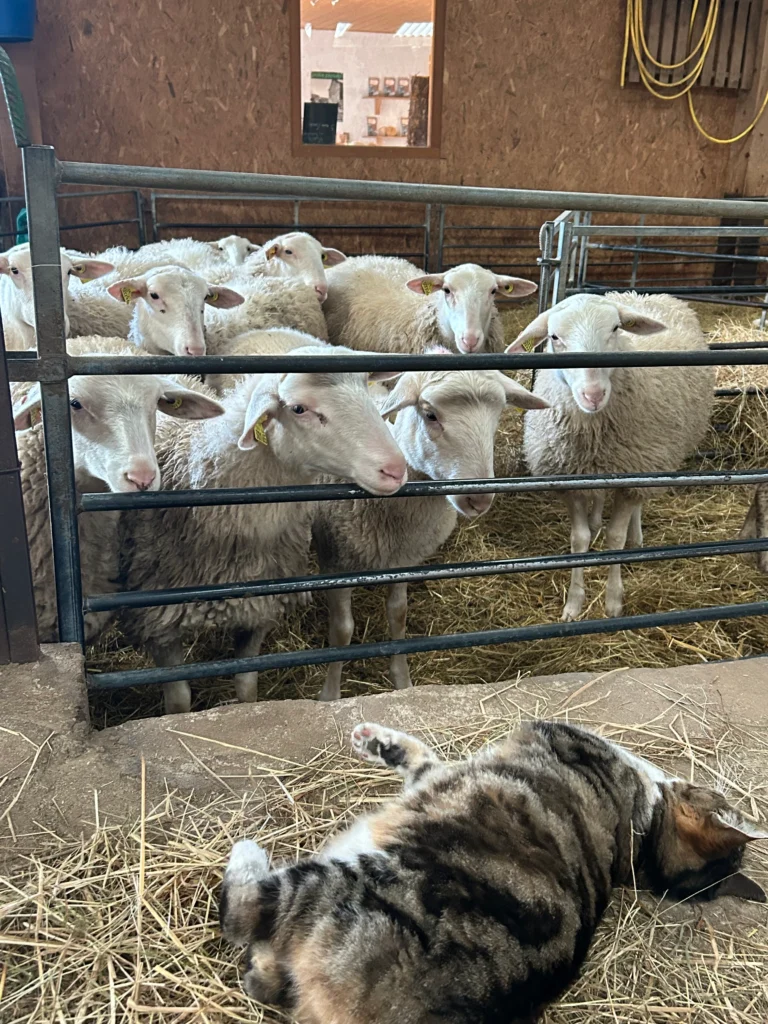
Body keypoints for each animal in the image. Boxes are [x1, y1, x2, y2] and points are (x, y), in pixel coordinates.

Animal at [117, 350, 408, 715]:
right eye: (298, 409)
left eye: (366, 389)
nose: (396, 470)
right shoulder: (158, 621)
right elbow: (180, 701)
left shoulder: (256, 610)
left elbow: (246, 687)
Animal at [313, 357, 550, 701]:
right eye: (430, 415)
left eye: (496, 419)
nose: (479, 498)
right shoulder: (335, 560)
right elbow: (342, 631)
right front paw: (329, 695)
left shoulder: (402, 559)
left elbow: (398, 615)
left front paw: (402, 680)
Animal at [507, 291, 715, 621]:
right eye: (554, 337)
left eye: (616, 328)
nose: (592, 395)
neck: (594, 432)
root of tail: (641, 294)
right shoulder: (569, 479)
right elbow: (578, 539)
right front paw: (574, 604)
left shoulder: (632, 476)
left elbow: (615, 538)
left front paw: (613, 602)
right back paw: (596, 522)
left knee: (635, 508)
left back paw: (635, 537)